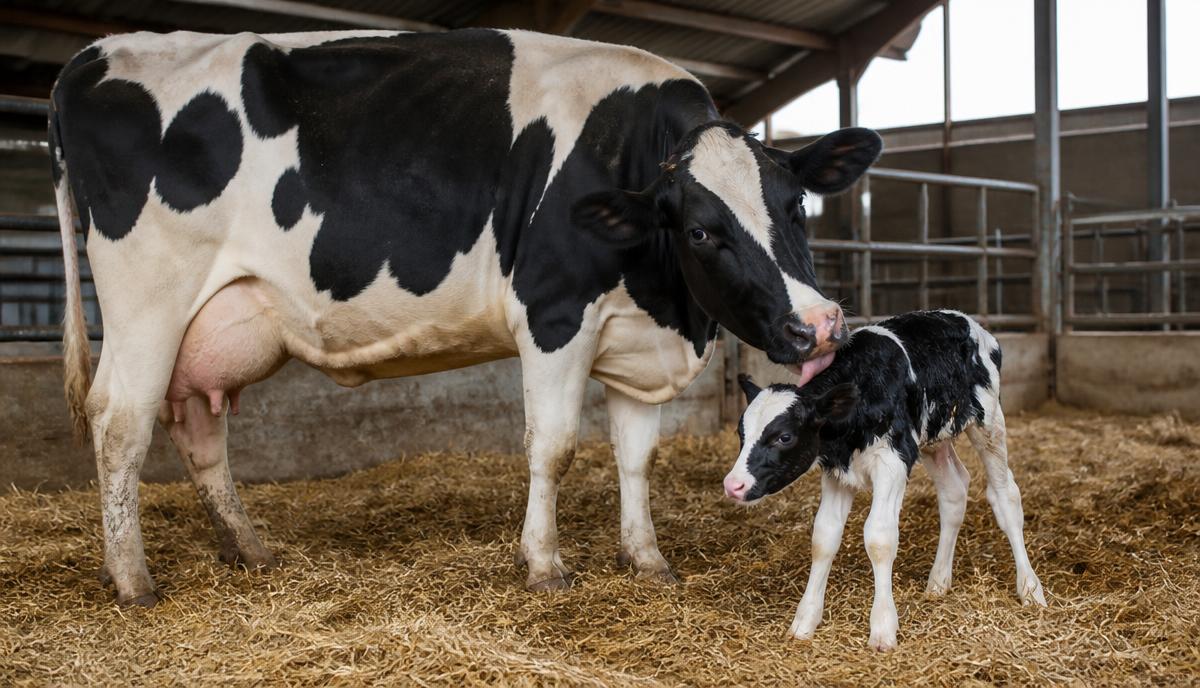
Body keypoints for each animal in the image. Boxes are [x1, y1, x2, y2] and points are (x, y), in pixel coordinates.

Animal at [50, 28, 882, 607]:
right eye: (704, 231)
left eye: (796, 204)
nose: (820, 325)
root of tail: (91, 56)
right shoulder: (553, 316)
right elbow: (553, 447)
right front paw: (543, 563)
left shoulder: (634, 341)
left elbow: (635, 456)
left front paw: (646, 559)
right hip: (147, 302)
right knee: (119, 423)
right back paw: (132, 579)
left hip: (213, 322)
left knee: (198, 424)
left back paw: (248, 549)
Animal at [724, 311, 1045, 650]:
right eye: (741, 433)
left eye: (784, 437)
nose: (733, 485)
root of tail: (970, 323)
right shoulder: (837, 472)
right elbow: (824, 537)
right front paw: (805, 621)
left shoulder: (893, 461)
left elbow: (879, 537)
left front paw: (882, 627)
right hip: (932, 440)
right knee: (954, 491)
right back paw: (938, 581)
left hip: (989, 422)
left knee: (1005, 495)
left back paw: (1029, 588)